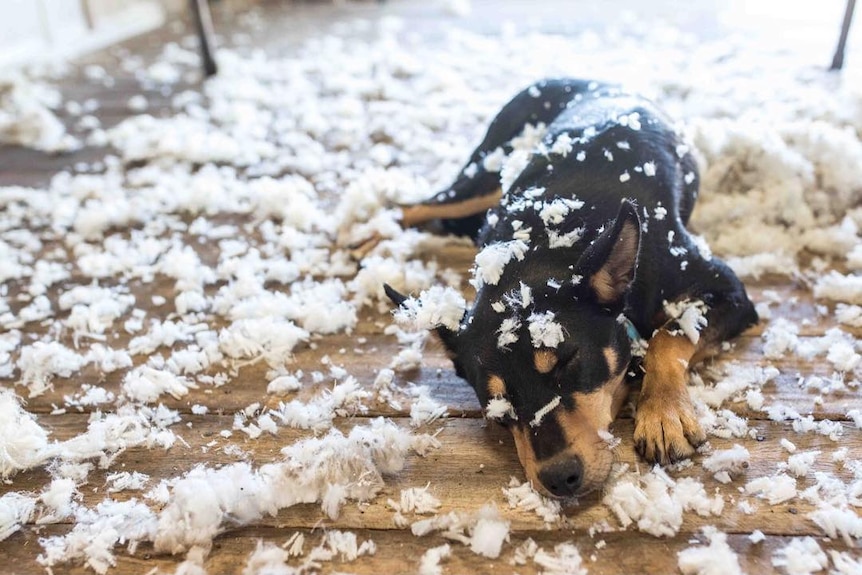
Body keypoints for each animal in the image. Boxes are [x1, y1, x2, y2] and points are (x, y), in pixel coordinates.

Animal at [384, 79, 756, 502]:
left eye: (569, 361)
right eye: (497, 406)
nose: (560, 478)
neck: (543, 247)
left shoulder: (727, 290)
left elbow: (669, 334)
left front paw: (663, 415)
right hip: (485, 175)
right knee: (412, 207)